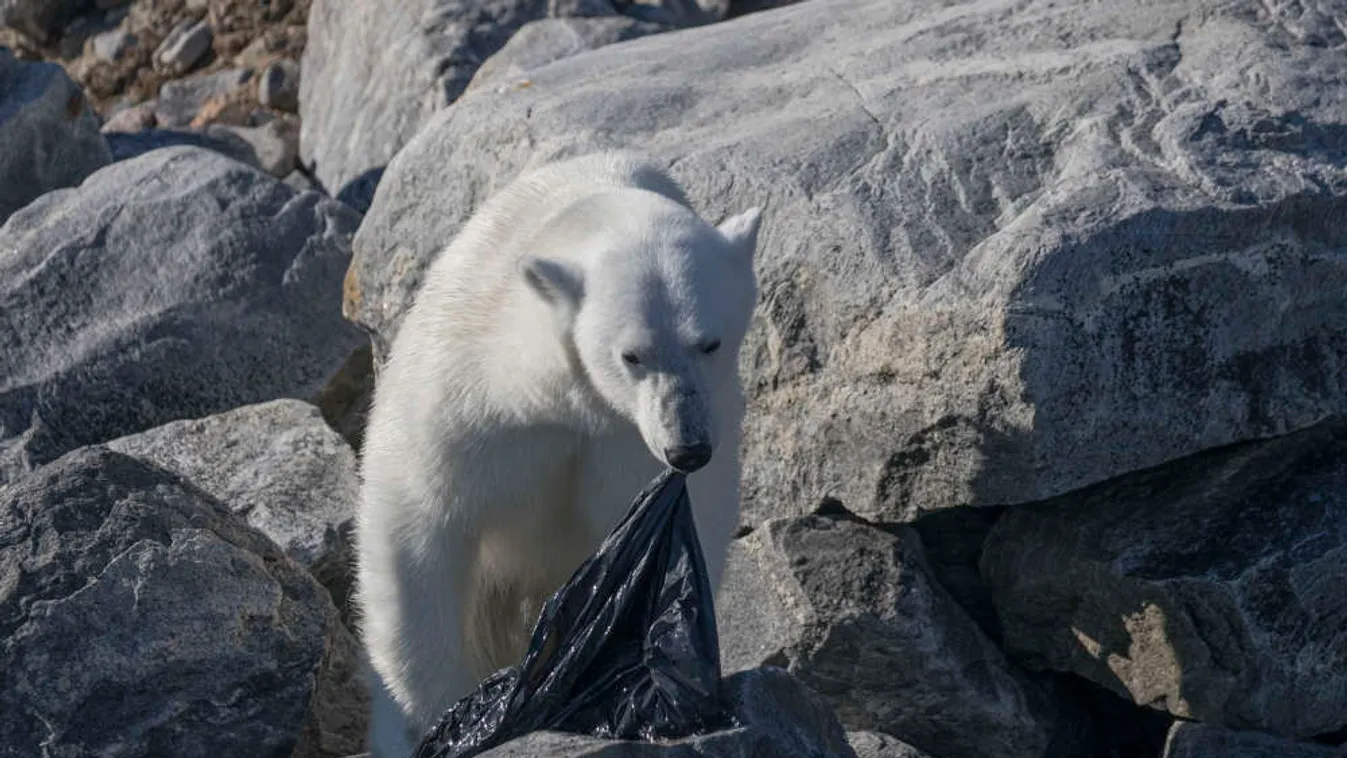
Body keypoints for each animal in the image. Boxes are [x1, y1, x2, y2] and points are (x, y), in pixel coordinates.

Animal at [352, 151, 765, 753]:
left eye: (708, 342)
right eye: (632, 355)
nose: (687, 446)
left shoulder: (634, 443)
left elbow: (680, 537)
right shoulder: (467, 402)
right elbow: (417, 530)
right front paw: (436, 715)